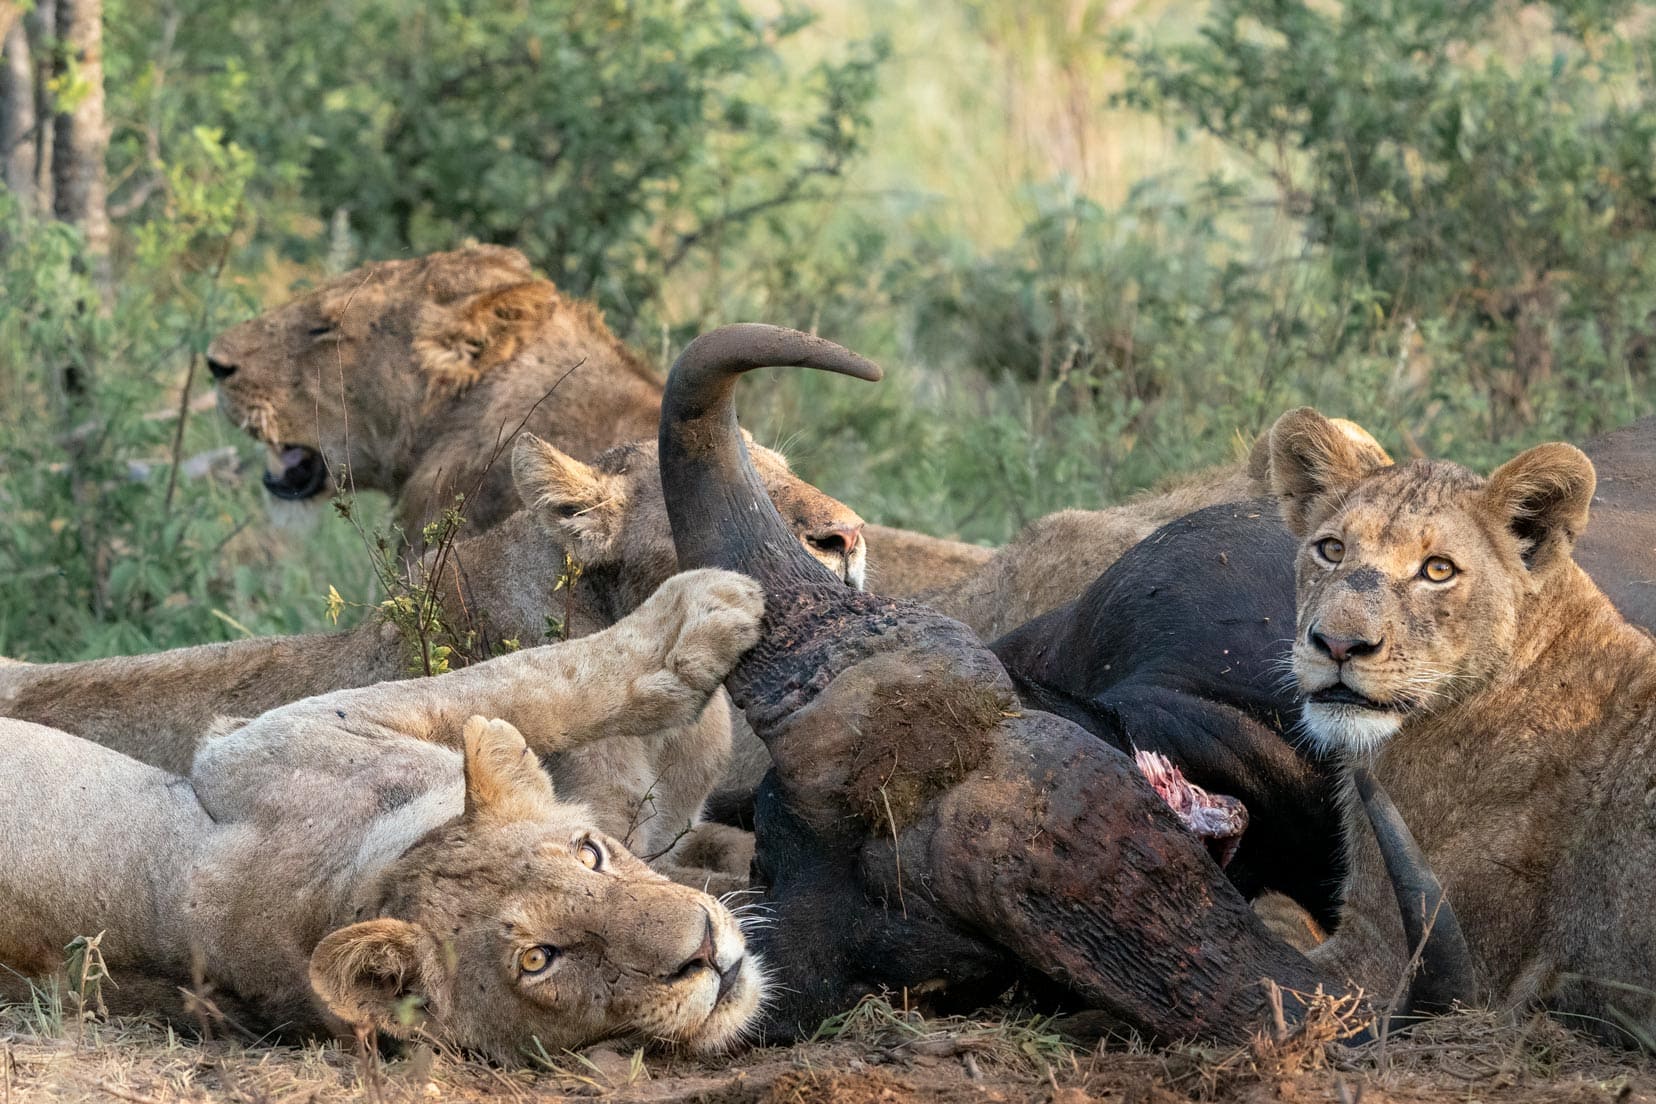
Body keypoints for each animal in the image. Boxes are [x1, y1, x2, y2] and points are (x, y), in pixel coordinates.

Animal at [0, 569, 761, 1059]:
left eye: (590, 852)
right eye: (539, 960)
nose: (706, 951)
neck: (361, 876)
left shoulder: (261, 742)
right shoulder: (266, 738)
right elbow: (527, 678)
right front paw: (702, 613)